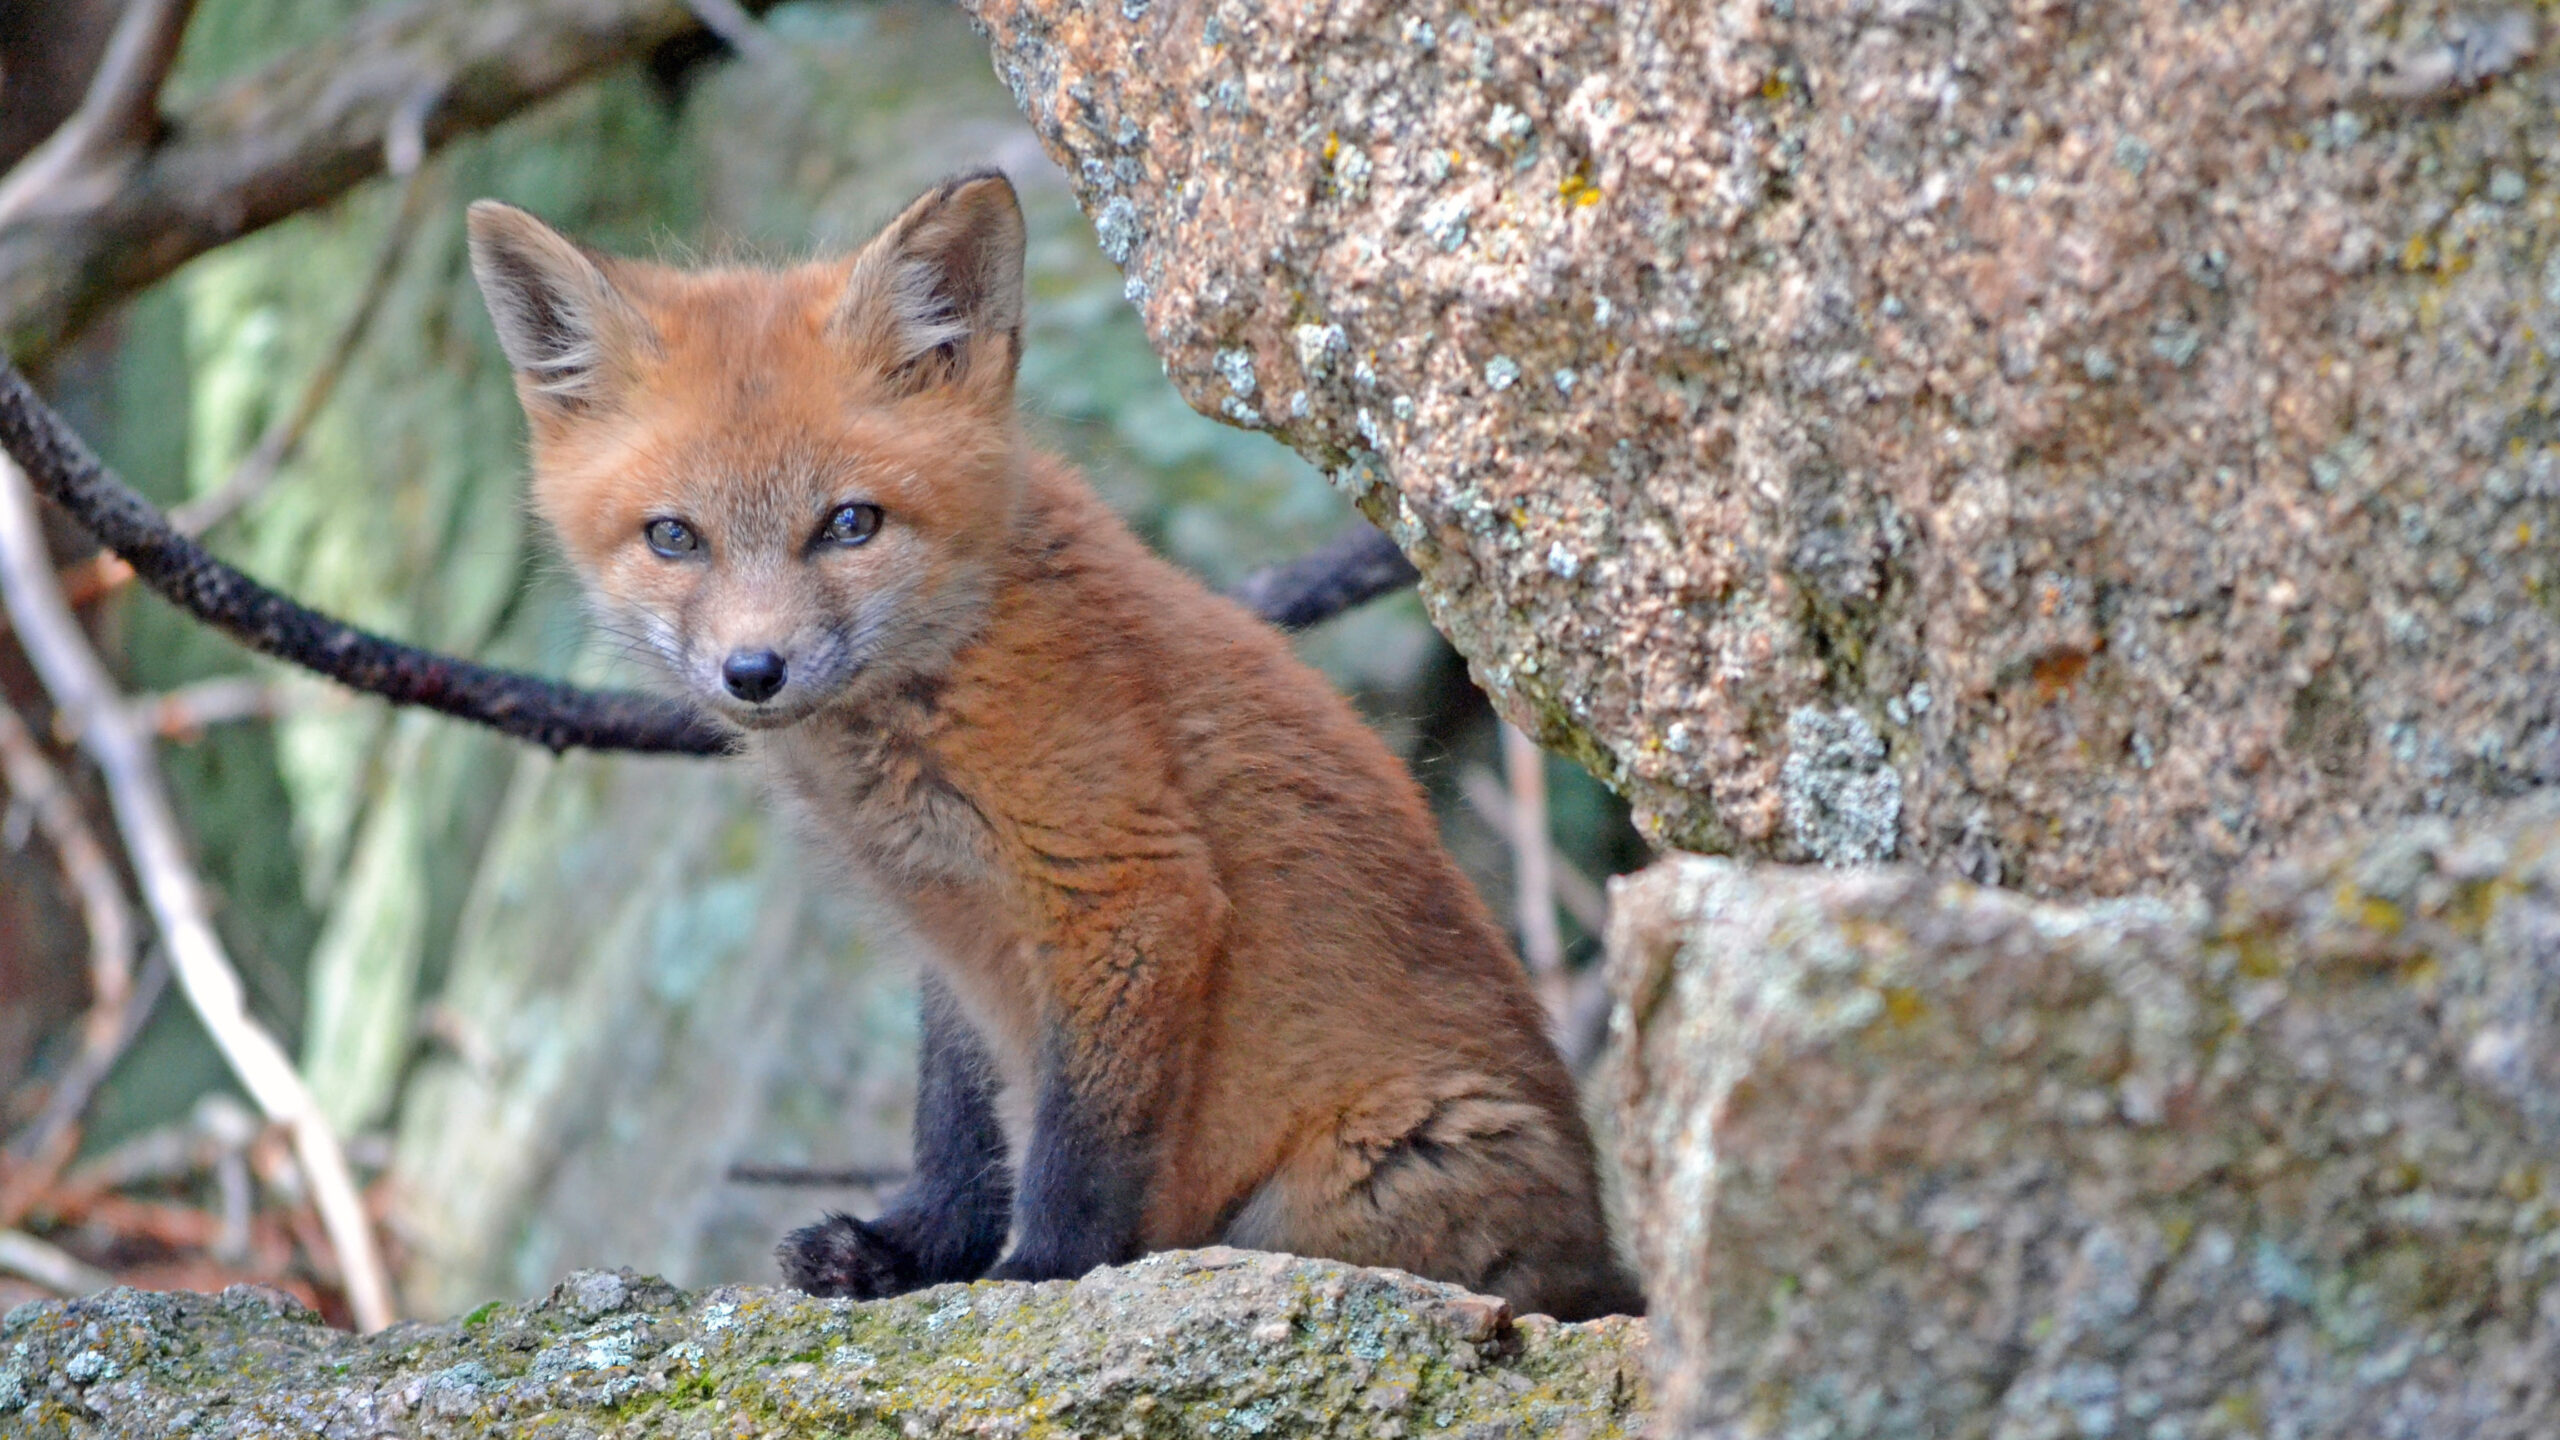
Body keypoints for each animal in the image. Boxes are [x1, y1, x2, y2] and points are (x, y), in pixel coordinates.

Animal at [465, 167, 1638, 1311]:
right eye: (674, 537)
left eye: (849, 524)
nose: (754, 672)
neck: (940, 685)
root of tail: (1605, 1255)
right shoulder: (955, 938)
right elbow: (959, 1126)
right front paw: (911, 1252)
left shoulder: (1123, 887)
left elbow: (1079, 1148)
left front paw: (1042, 1277)